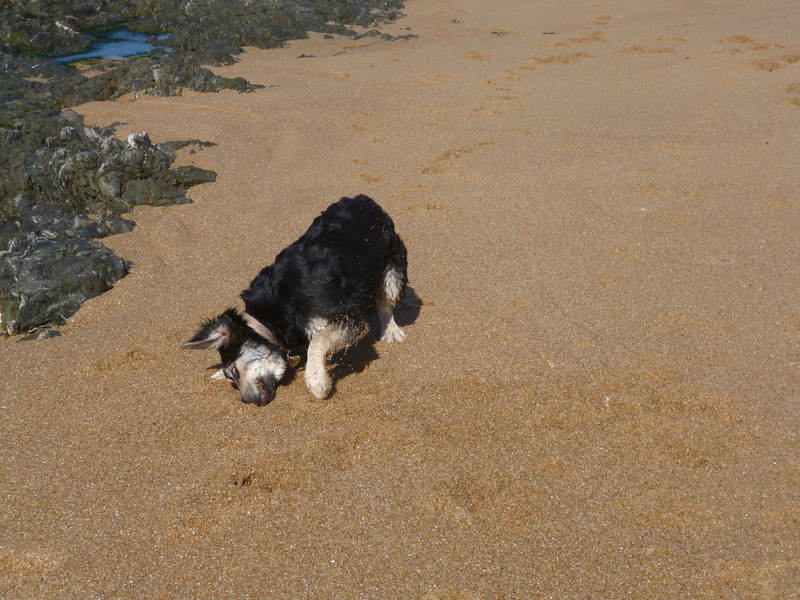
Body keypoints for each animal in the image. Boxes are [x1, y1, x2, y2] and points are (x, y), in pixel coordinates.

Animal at [181, 195, 406, 406]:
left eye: (235, 372)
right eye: (231, 379)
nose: (248, 402)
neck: (270, 317)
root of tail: (362, 200)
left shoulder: (345, 315)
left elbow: (317, 341)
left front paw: (316, 381)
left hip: (392, 261)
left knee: (385, 298)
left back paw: (391, 330)